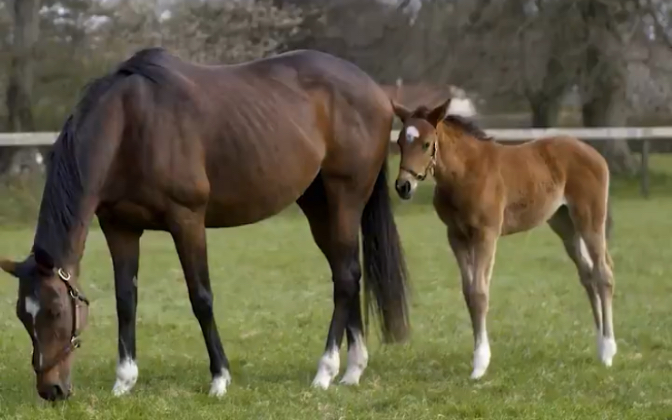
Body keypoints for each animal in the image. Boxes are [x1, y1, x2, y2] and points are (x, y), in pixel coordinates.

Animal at [0, 47, 410, 402]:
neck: (130, 126)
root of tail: (375, 91)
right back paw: (352, 370)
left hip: (345, 197)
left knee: (345, 277)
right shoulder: (120, 227)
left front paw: (219, 379)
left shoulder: (187, 221)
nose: (51, 390)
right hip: (317, 203)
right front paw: (124, 381)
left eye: (55, 311)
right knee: (347, 271)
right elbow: (125, 300)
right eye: (22, 315)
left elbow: (201, 298)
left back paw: (325, 371)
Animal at [388, 99, 616, 380]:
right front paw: (478, 357)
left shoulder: (486, 234)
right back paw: (600, 344)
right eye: (400, 142)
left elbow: (479, 293)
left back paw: (608, 351)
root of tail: (594, 153)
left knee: (603, 273)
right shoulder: (456, 236)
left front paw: (479, 364)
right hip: (565, 225)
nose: (403, 186)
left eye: (426, 143)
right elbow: (468, 292)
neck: (465, 172)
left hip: (589, 219)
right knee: (587, 274)